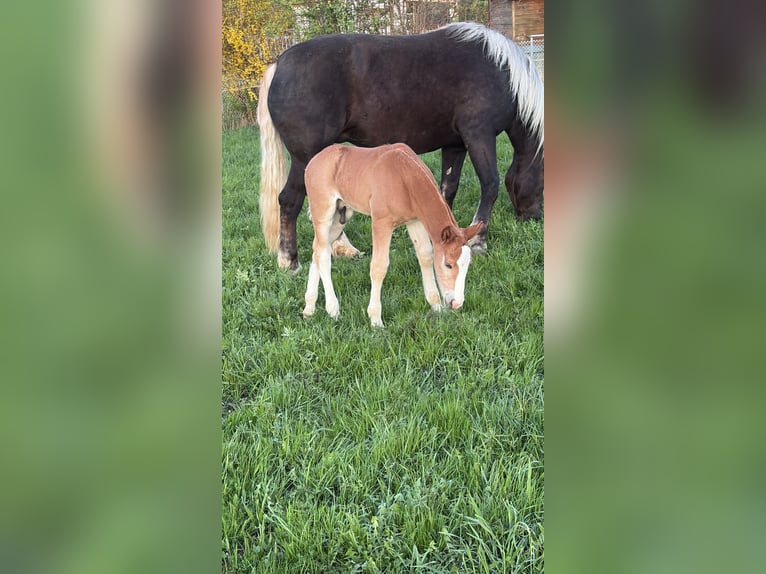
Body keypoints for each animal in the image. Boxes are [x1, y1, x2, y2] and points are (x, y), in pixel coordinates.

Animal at [257, 22, 544, 271]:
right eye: (542, 185)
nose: (535, 217)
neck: (502, 72)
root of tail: (279, 64)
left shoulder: (455, 145)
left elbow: (447, 190)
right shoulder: (479, 136)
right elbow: (491, 185)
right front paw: (479, 242)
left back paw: (342, 248)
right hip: (305, 158)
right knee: (290, 201)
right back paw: (290, 261)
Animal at [302, 143, 483, 328]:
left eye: (469, 264)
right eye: (448, 264)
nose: (456, 303)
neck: (404, 176)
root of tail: (313, 161)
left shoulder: (414, 221)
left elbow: (425, 256)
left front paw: (436, 307)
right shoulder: (381, 223)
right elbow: (379, 266)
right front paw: (375, 320)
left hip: (341, 216)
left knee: (317, 249)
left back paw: (309, 308)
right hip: (323, 213)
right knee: (323, 254)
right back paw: (333, 309)